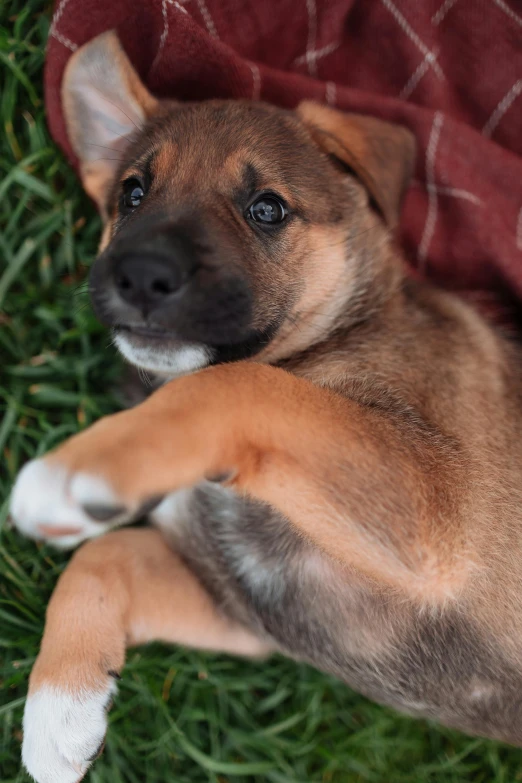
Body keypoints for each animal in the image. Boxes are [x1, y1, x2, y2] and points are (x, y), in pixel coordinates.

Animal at [9, 29, 522, 783]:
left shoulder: (439, 507)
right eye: (133, 193)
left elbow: (237, 386)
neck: (335, 334)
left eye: (268, 209)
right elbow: (104, 558)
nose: (141, 275)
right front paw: (58, 712)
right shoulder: (241, 606)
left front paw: (76, 473)